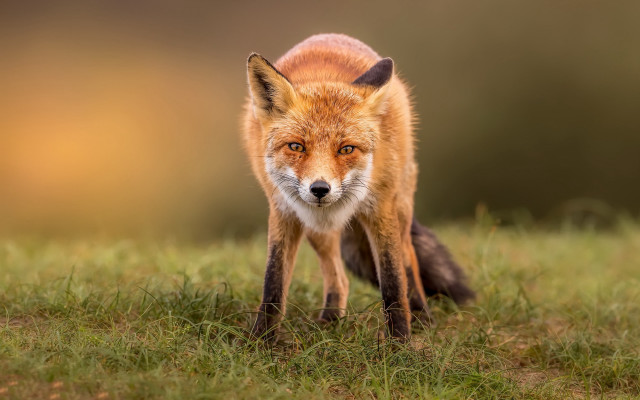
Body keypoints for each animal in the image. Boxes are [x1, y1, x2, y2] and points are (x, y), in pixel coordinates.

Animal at [243, 33, 474, 341]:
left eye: (346, 149)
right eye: (296, 147)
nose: (320, 189)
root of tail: (329, 36)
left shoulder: (380, 209)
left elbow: (393, 283)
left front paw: (400, 343)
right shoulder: (283, 211)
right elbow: (273, 282)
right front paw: (260, 341)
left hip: (401, 210)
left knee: (409, 261)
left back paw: (421, 316)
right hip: (317, 230)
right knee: (339, 278)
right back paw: (330, 319)